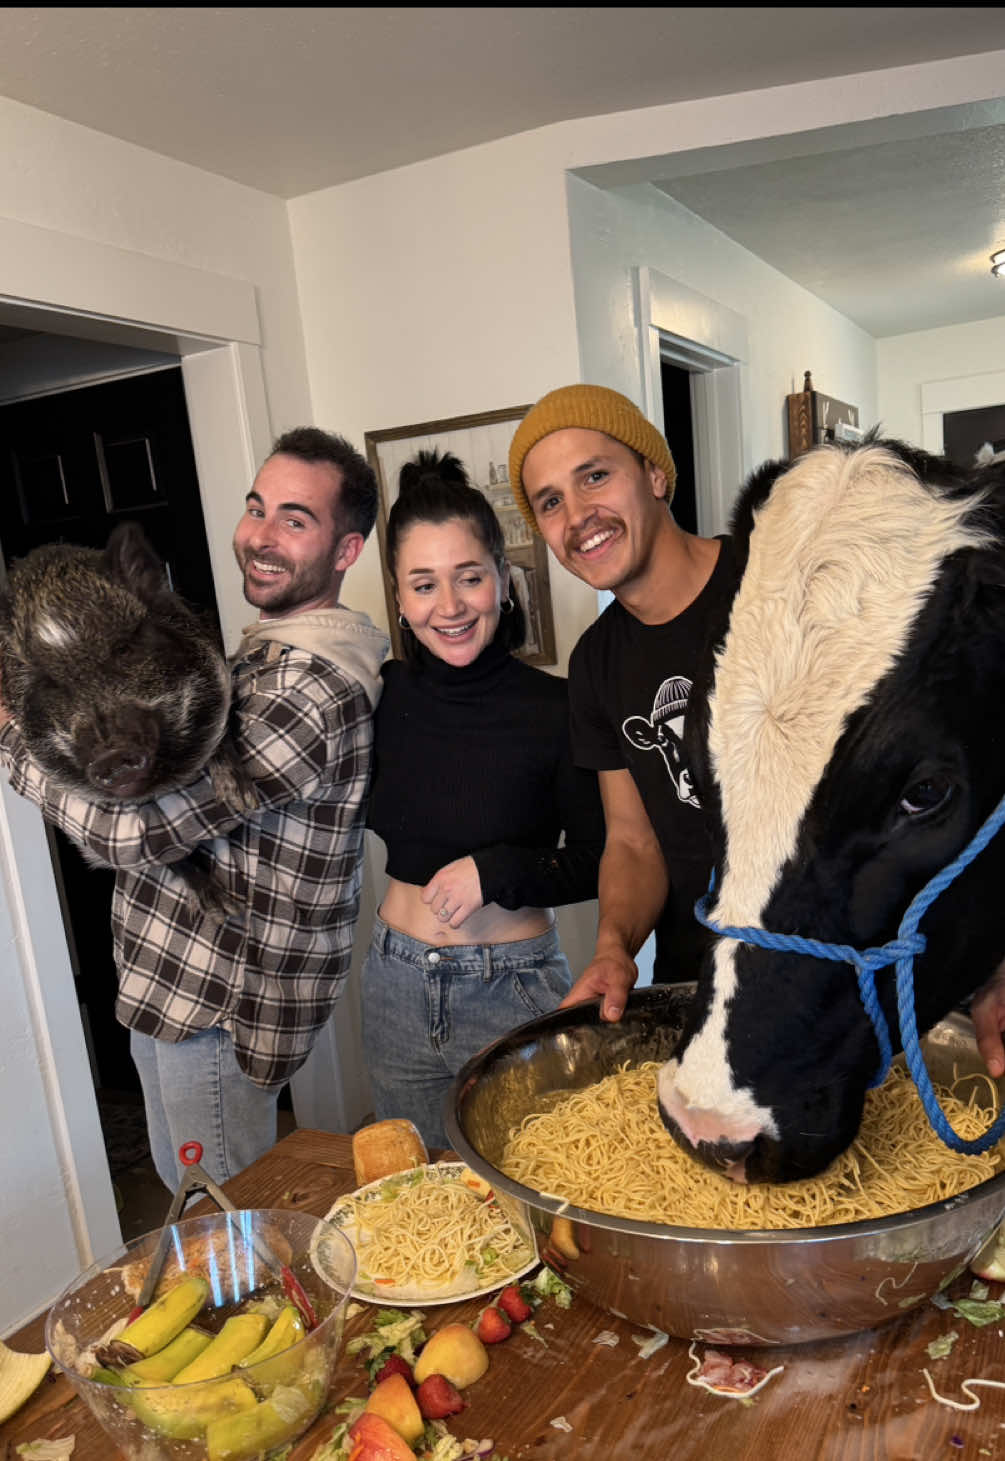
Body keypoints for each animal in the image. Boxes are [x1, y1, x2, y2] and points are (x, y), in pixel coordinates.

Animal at [0, 523, 251, 911]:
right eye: (49, 683)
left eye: (125, 649)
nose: (111, 756)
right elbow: (157, 856)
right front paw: (220, 911)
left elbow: (221, 735)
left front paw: (241, 800)